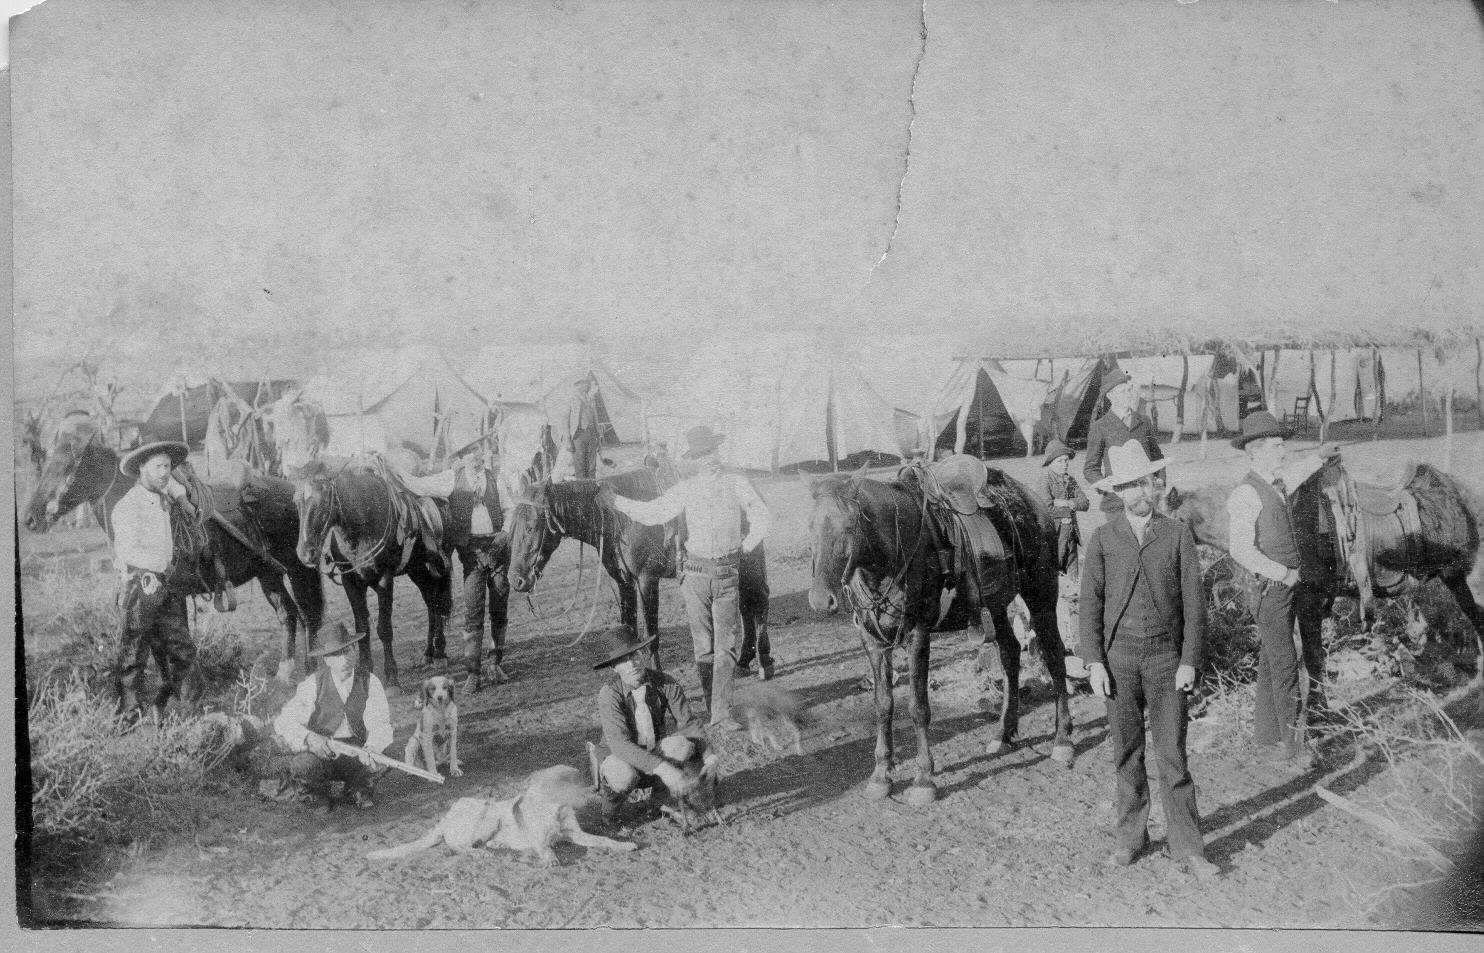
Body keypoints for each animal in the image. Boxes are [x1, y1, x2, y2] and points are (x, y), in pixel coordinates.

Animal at [23, 415, 326, 676]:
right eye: (45, 463)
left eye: (66, 467)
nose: (30, 519)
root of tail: (293, 492)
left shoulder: (173, 594)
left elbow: (175, 645)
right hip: (268, 573)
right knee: (288, 613)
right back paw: (285, 672)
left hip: (298, 569)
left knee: (309, 614)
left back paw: (312, 668)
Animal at [289, 451, 451, 682]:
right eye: (296, 501)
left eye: (323, 500)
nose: (305, 553)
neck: (362, 523)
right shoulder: (351, 582)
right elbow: (362, 628)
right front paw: (365, 670)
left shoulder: (384, 579)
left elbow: (384, 628)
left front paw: (391, 675)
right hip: (417, 569)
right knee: (430, 601)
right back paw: (429, 653)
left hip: (438, 566)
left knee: (438, 602)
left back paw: (439, 653)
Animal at [369, 760, 638, 866]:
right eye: (565, 782)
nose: (594, 790)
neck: (553, 808)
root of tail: (445, 818)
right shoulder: (539, 840)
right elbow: (546, 848)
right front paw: (551, 858)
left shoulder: (575, 834)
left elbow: (604, 840)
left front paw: (625, 845)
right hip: (487, 815)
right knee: (456, 846)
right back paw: (479, 853)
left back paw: (496, 846)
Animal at [507, 469, 771, 667]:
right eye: (512, 525)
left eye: (531, 526)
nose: (515, 580)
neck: (619, 520)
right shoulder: (624, 582)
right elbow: (629, 627)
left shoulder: (647, 580)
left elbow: (651, 634)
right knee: (746, 604)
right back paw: (745, 660)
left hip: (748, 564)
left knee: (759, 602)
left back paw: (764, 662)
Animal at [807, 463, 1074, 807]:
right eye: (810, 526)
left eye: (849, 525)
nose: (820, 599)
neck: (895, 550)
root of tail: (1033, 502)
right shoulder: (873, 642)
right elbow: (883, 705)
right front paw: (881, 774)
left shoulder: (918, 636)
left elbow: (918, 707)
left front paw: (924, 779)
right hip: (996, 605)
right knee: (1010, 655)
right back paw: (1003, 733)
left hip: (1041, 593)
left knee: (1054, 655)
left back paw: (1062, 738)